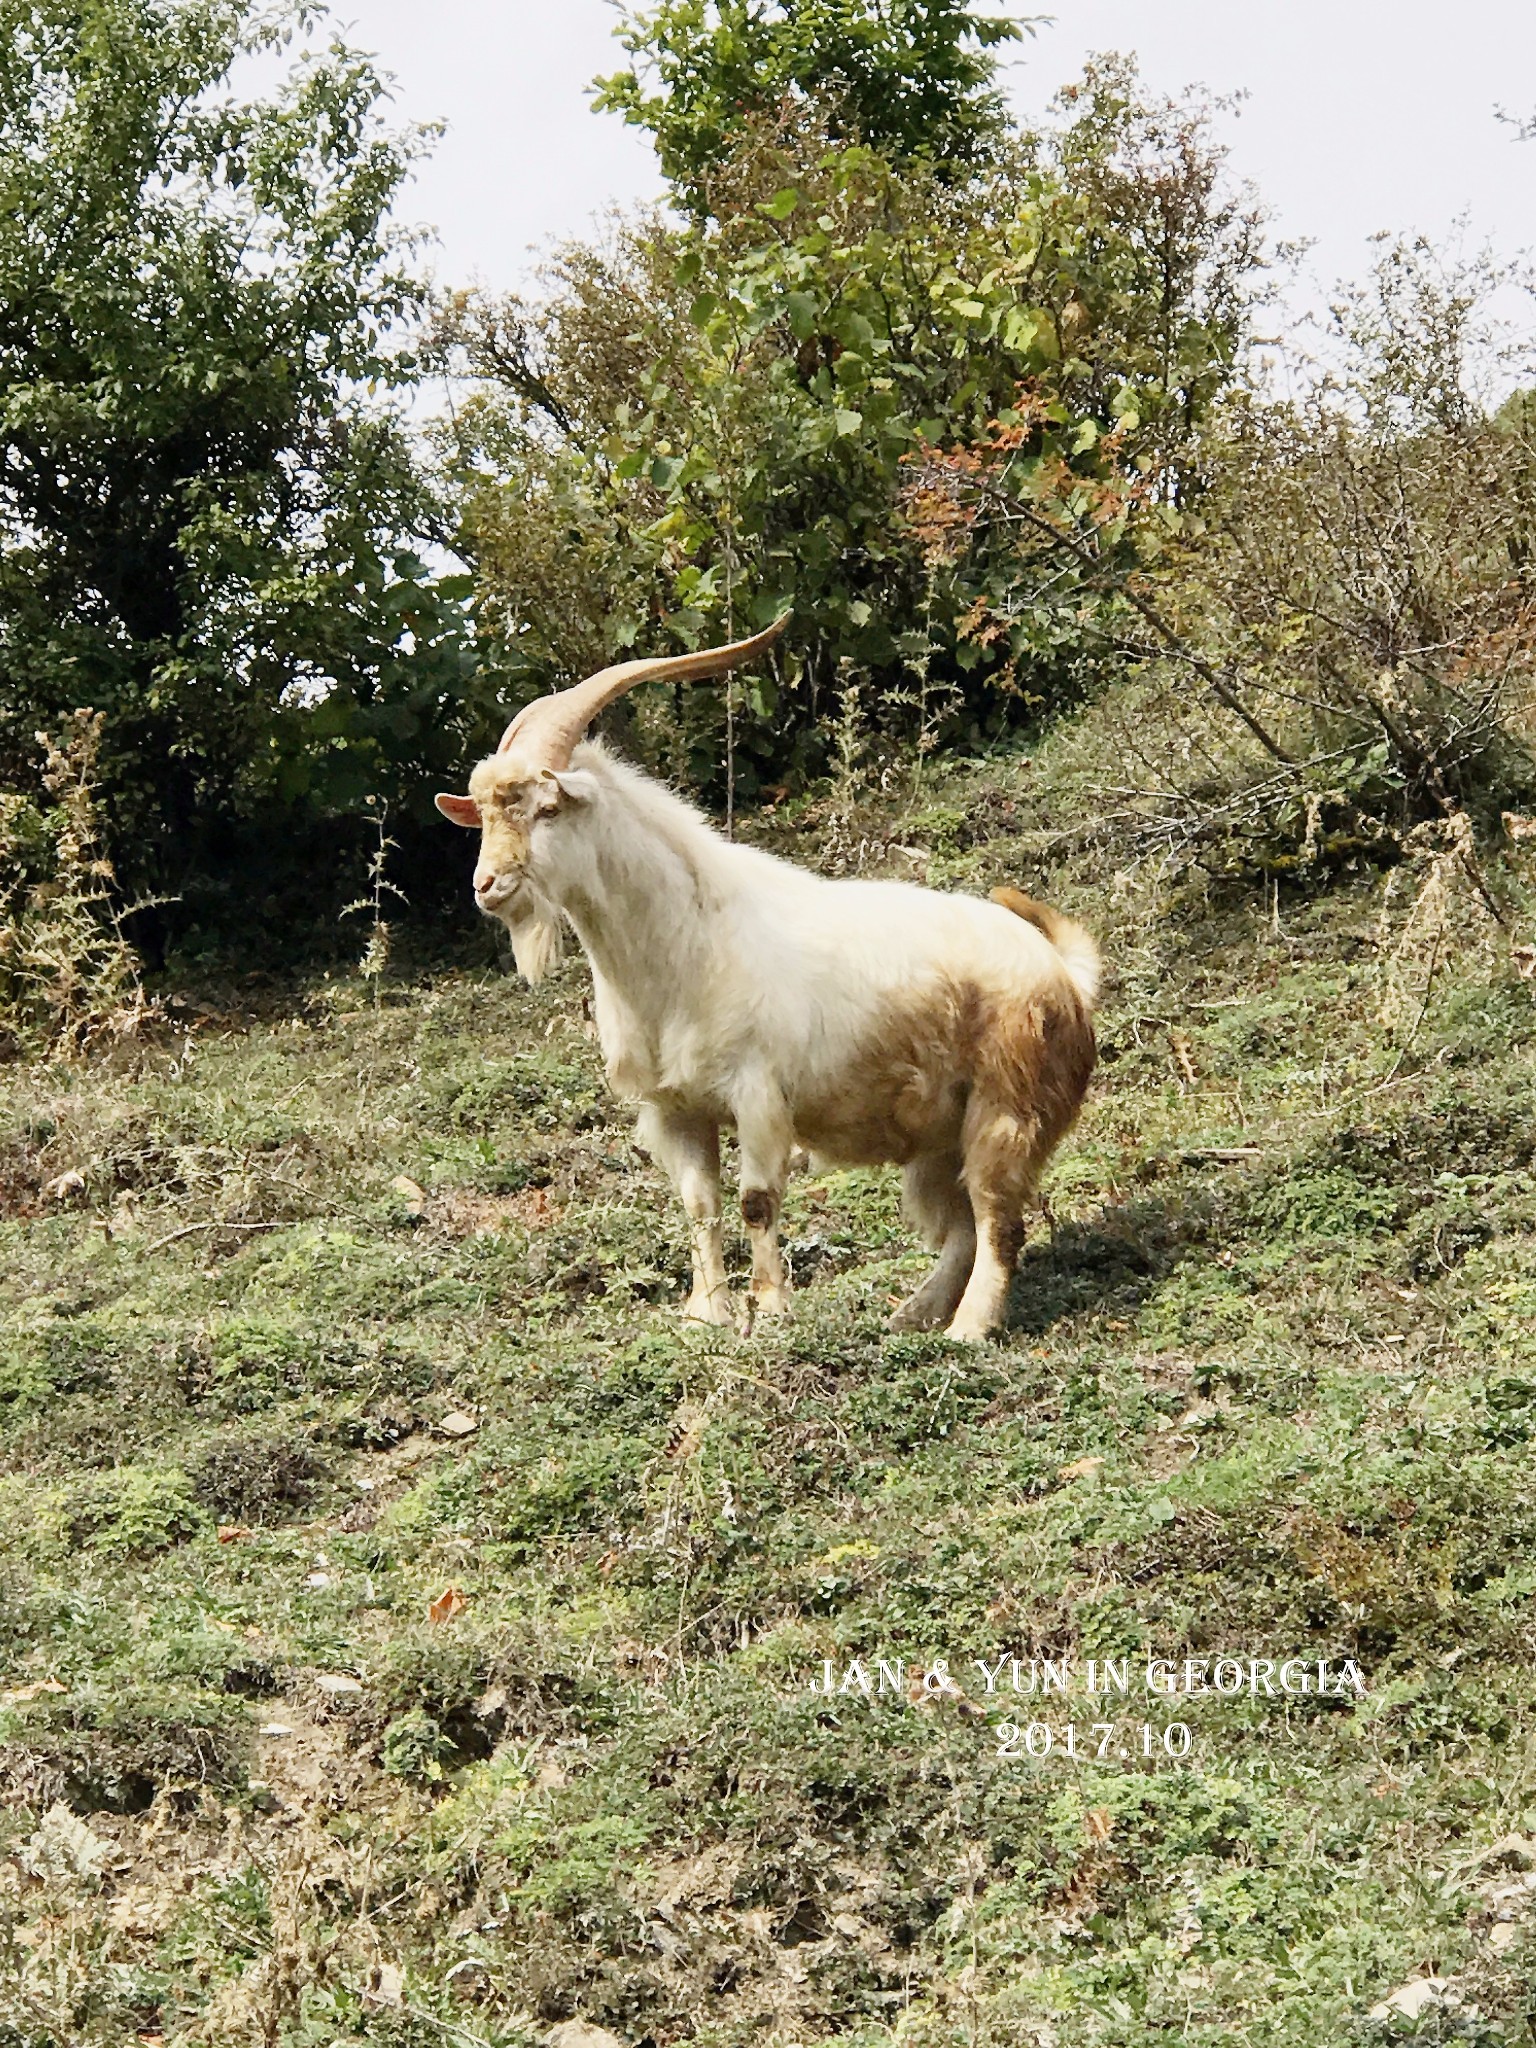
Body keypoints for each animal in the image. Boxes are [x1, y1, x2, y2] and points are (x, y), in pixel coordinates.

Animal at [438, 610, 1097, 1343]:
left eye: (547, 808)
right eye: (485, 813)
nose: (487, 886)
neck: (687, 946)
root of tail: (1064, 975)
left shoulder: (757, 1095)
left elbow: (756, 1201)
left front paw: (773, 1310)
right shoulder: (677, 1110)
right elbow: (699, 1203)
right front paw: (707, 1314)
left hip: (1005, 1111)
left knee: (997, 1221)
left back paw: (968, 1330)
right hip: (936, 1139)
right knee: (959, 1228)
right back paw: (913, 1313)